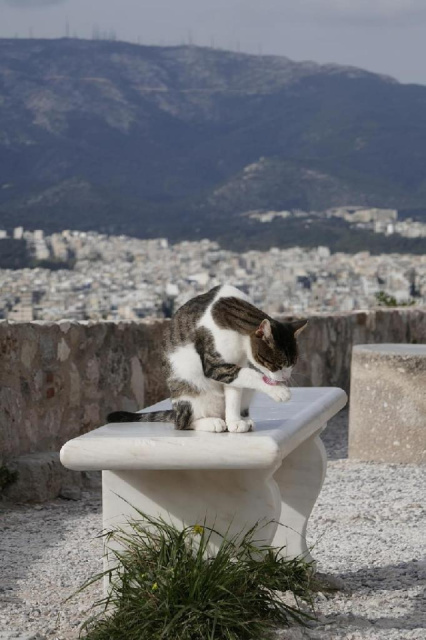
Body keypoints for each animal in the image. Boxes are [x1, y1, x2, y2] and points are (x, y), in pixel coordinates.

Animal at [106, 286, 306, 432]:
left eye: (292, 364)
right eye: (276, 364)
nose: (286, 377)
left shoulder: (235, 364)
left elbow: (235, 391)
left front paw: (235, 421)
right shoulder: (215, 364)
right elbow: (250, 374)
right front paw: (280, 391)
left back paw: (240, 419)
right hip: (188, 393)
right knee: (182, 424)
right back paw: (210, 422)